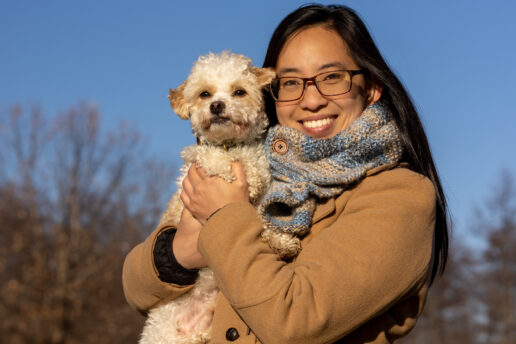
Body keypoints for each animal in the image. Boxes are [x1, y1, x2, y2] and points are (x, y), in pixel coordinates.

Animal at [137, 51, 274, 344]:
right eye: (205, 94)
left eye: (239, 91)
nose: (217, 106)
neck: (229, 144)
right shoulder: (198, 164)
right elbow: (218, 160)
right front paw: (249, 175)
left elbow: (264, 221)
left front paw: (282, 240)